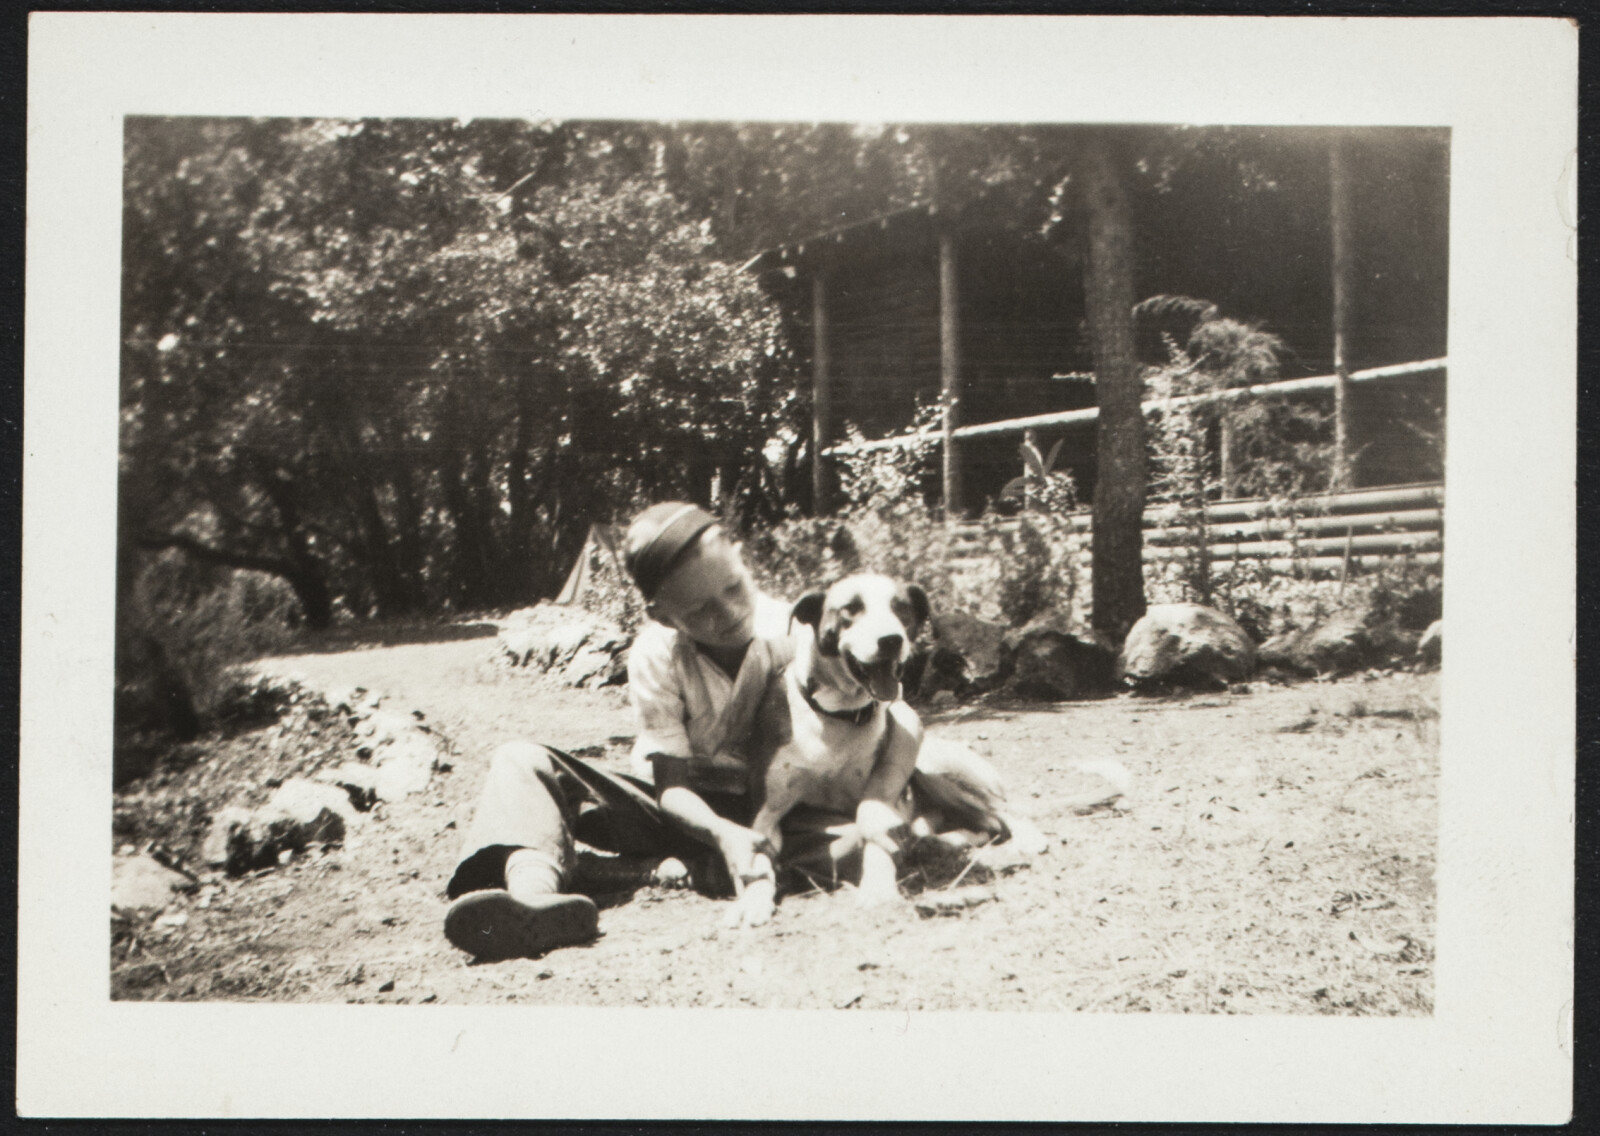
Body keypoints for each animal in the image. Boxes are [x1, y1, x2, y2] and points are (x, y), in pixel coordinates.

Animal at [732, 572, 1056, 928]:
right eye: (851, 608)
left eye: (901, 608)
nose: (890, 640)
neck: (838, 715)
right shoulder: (767, 811)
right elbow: (758, 856)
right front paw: (752, 899)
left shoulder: (883, 790)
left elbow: (875, 830)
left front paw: (876, 886)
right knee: (975, 828)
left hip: (935, 767)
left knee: (1003, 811)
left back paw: (1025, 837)